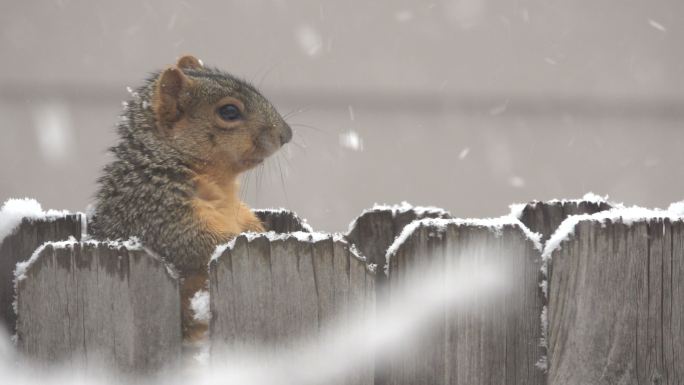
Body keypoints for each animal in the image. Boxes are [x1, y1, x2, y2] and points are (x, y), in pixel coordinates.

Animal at [88, 54, 292, 342]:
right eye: (229, 112)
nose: (287, 134)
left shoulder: (237, 212)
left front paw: (263, 231)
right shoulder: (159, 214)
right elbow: (198, 243)